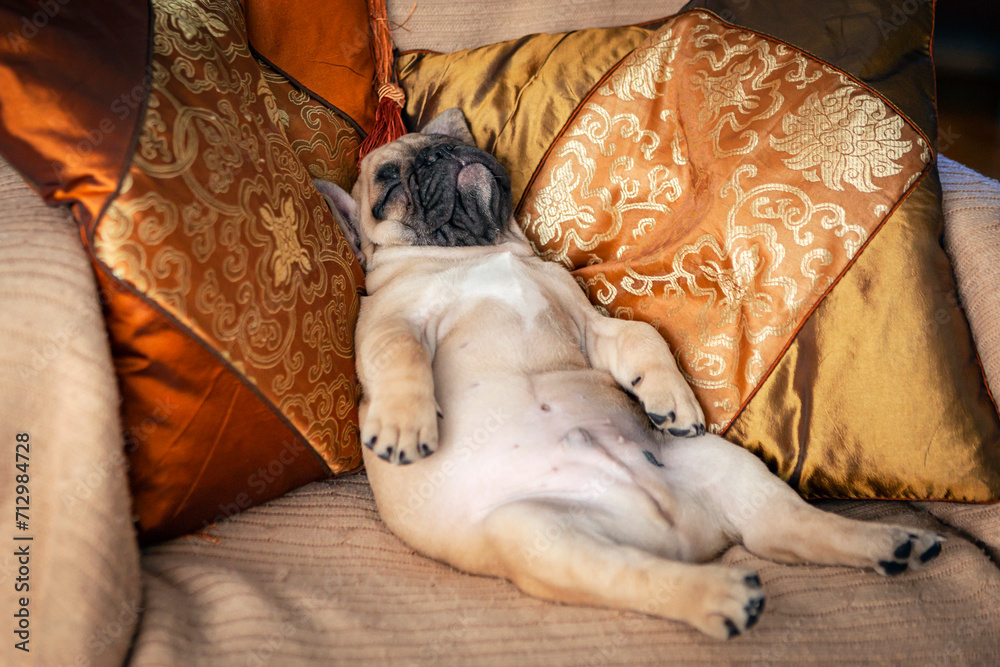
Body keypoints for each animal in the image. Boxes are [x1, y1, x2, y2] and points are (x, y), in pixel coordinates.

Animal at [318, 107, 944, 640]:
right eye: (388, 181)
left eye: (458, 144)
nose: (446, 153)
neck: (474, 253)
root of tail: (683, 536)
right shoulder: (390, 324)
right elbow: (401, 356)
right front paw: (403, 425)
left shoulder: (592, 326)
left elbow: (645, 337)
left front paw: (674, 401)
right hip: (540, 537)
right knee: (638, 575)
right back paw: (720, 595)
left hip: (721, 467)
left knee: (783, 528)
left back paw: (890, 542)